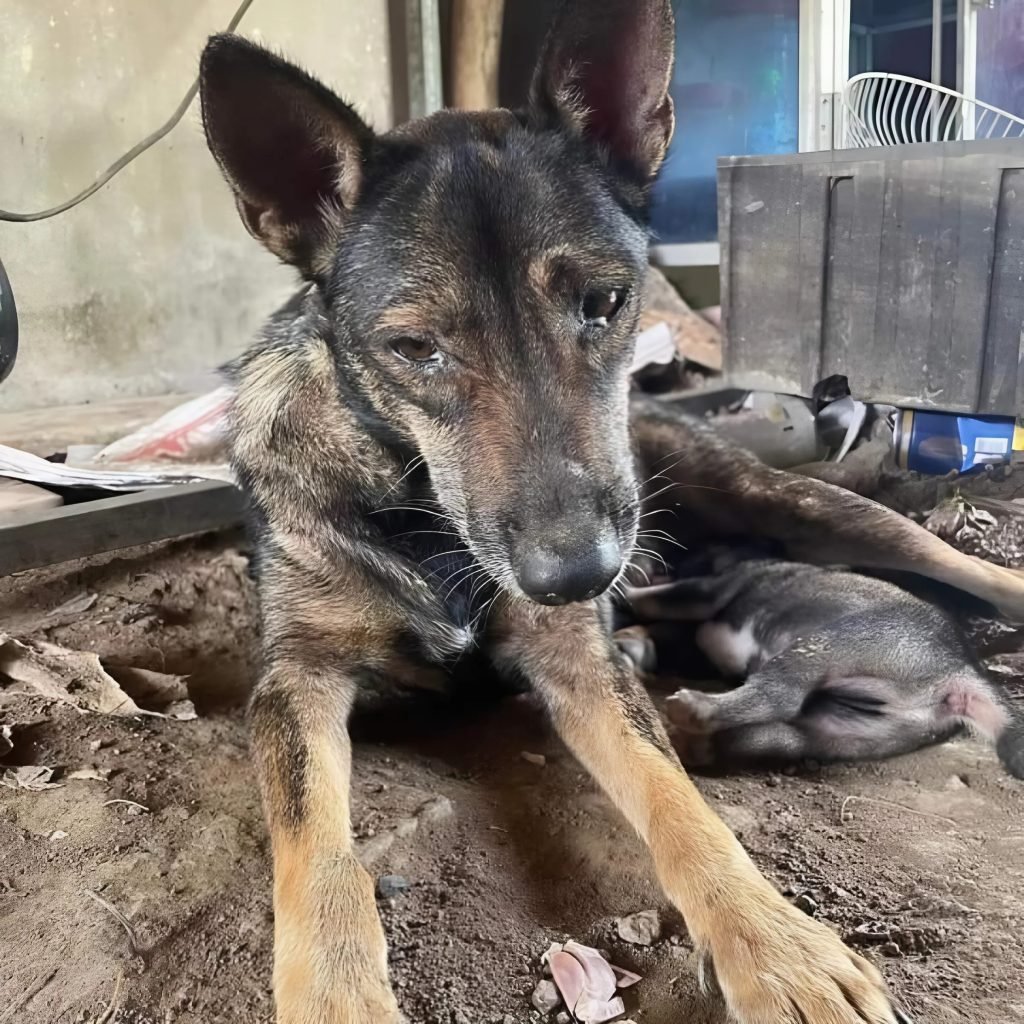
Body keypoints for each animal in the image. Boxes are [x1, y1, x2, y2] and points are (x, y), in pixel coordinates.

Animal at [618, 557, 1019, 778]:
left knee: (780, 694)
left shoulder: (710, 591)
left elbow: (653, 600)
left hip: (839, 643)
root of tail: (960, 669)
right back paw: (693, 745)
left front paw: (625, 590)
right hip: (847, 732)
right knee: (770, 737)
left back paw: (691, 707)